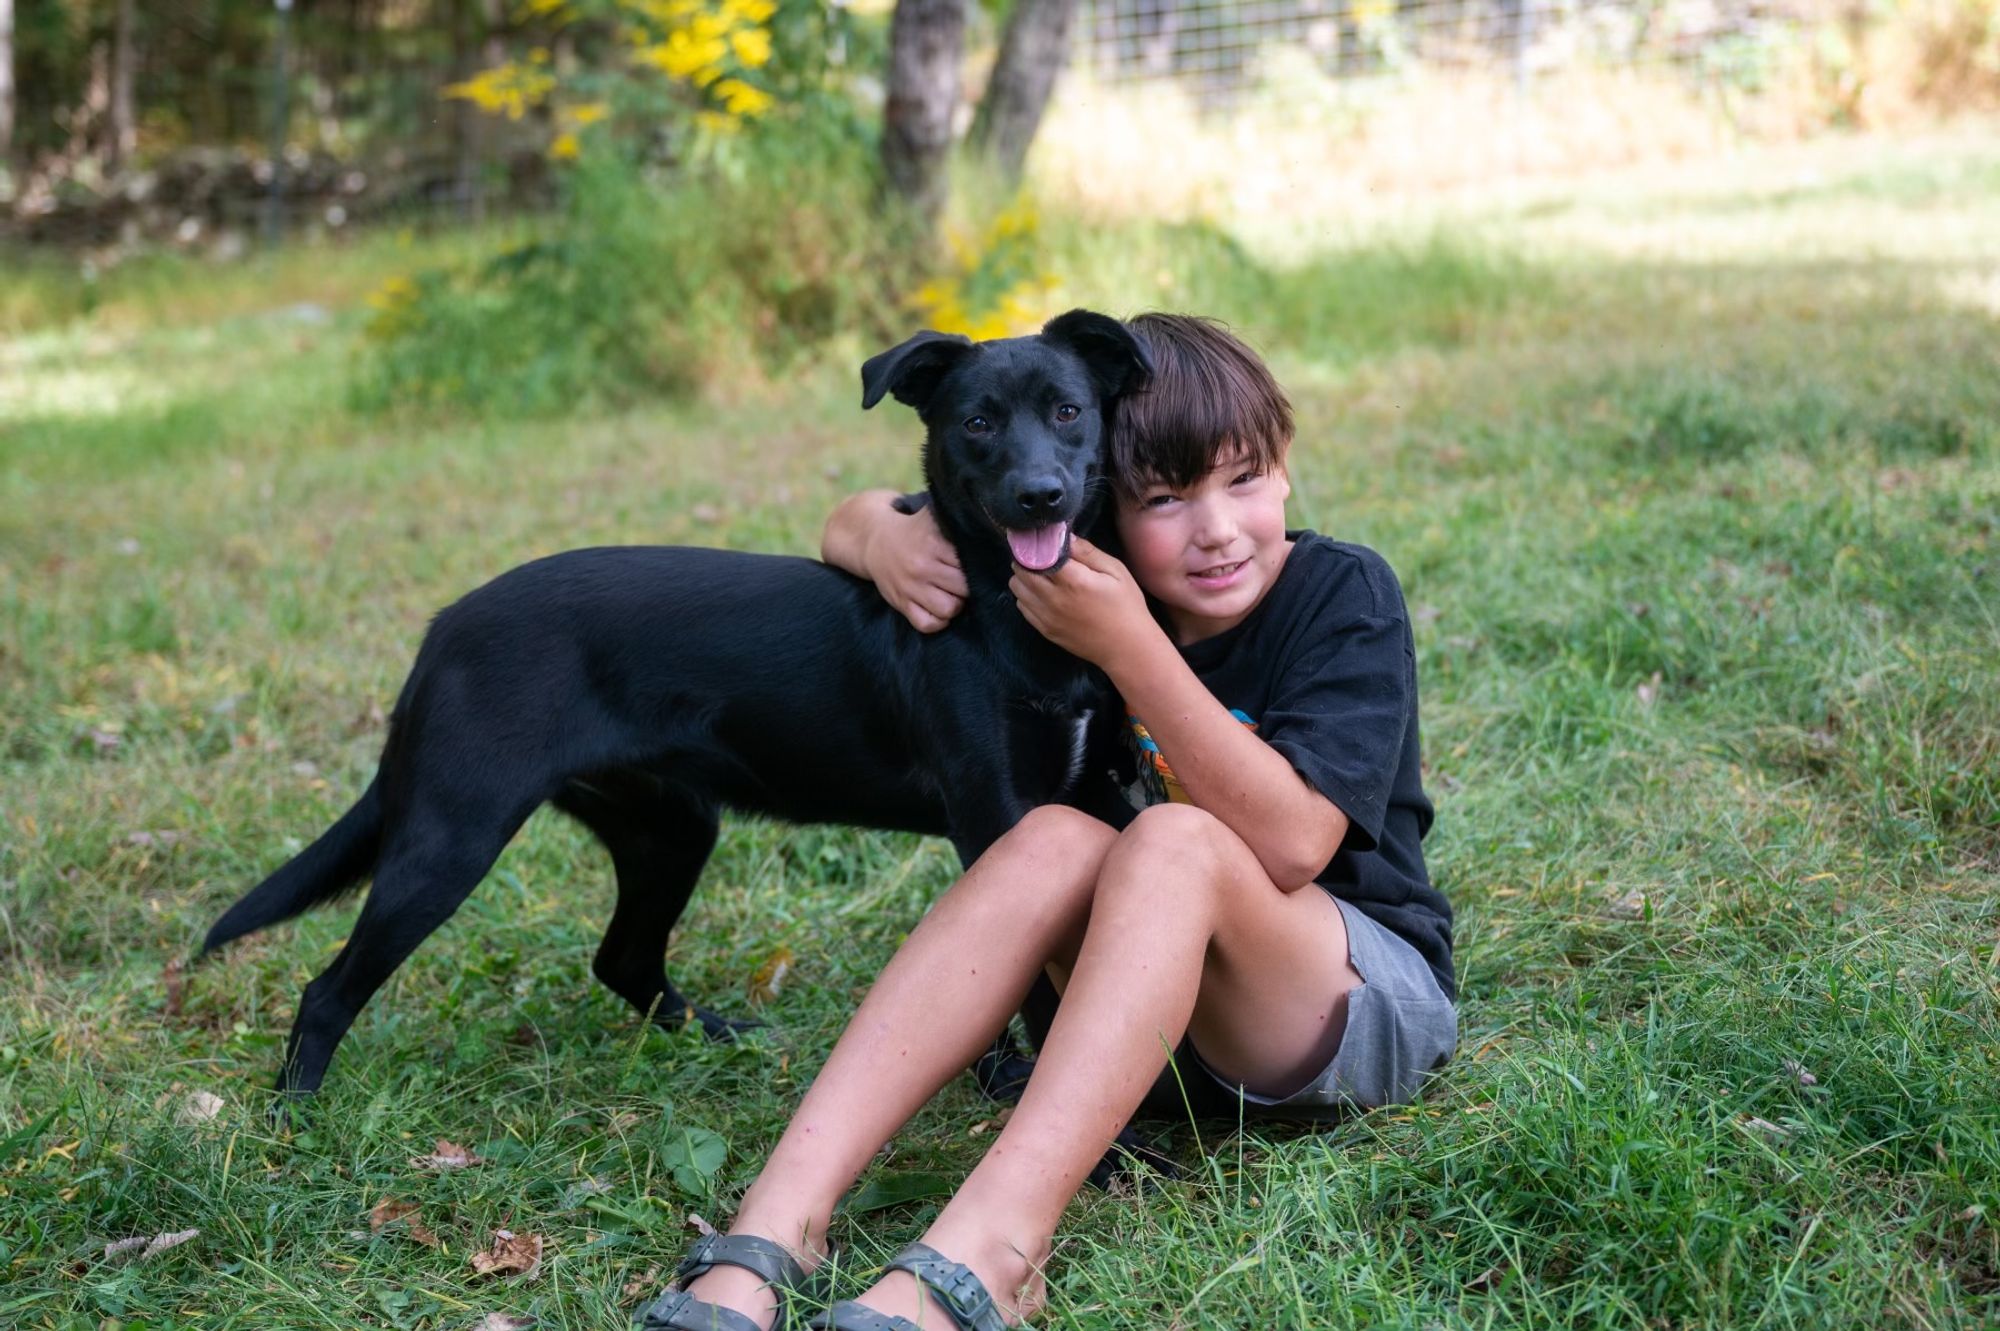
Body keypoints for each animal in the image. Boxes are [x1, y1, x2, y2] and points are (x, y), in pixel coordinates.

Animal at [203, 305, 1152, 1095]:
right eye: (977, 423)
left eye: (1069, 410)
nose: (1039, 495)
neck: (1008, 612)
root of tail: (441, 630)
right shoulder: (997, 817)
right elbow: (1031, 983)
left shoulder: (1088, 791)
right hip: (452, 835)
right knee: (327, 988)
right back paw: (294, 1118)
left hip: (667, 825)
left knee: (622, 959)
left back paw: (718, 1037)